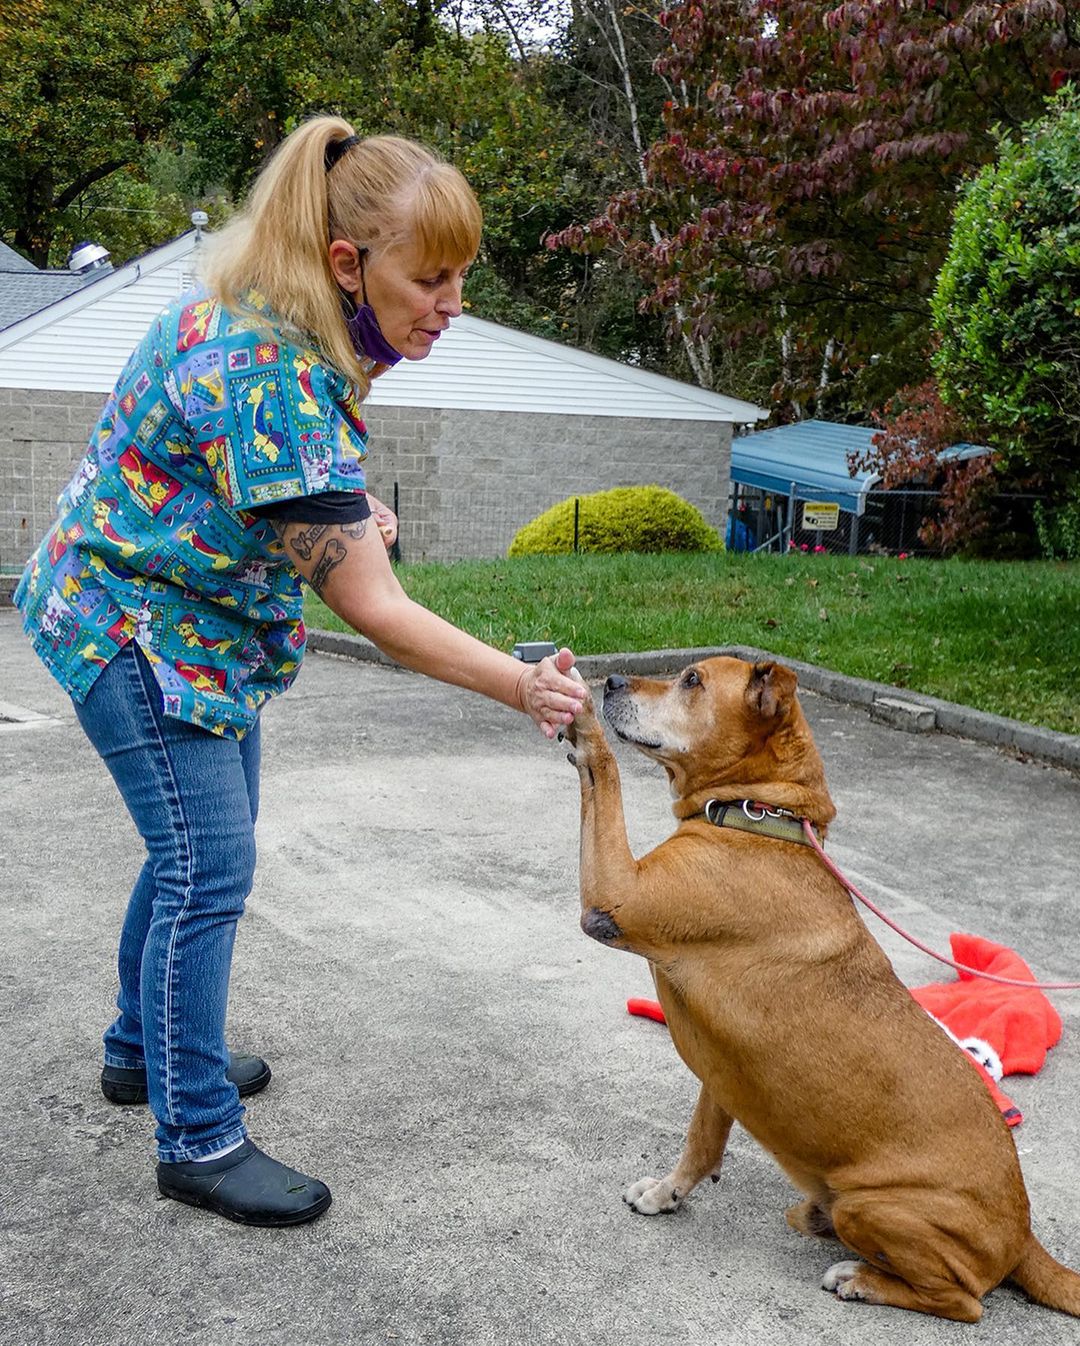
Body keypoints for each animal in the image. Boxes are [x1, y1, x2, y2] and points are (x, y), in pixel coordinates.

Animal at [562, 656, 1077, 1319]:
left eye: (692, 681)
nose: (611, 683)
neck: (759, 817)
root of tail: (1023, 1234)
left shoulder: (614, 894)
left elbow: (604, 774)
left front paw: (578, 718)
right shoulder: (723, 1073)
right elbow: (702, 1143)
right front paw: (667, 1193)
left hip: (873, 1207)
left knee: (964, 1301)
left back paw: (861, 1278)